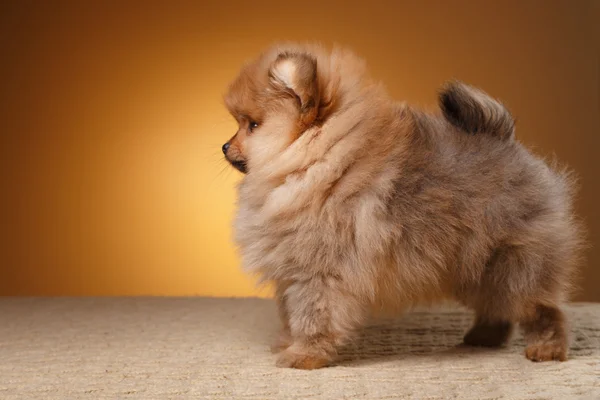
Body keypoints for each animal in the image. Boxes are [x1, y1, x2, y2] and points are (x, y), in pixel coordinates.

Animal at [219, 43, 580, 368]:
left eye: (252, 125)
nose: (224, 146)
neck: (316, 162)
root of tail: (507, 142)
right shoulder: (290, 270)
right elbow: (290, 314)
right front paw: (287, 343)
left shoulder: (320, 272)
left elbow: (313, 316)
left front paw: (303, 355)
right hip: (475, 265)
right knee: (496, 305)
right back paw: (484, 337)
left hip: (515, 262)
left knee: (541, 307)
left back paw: (546, 348)